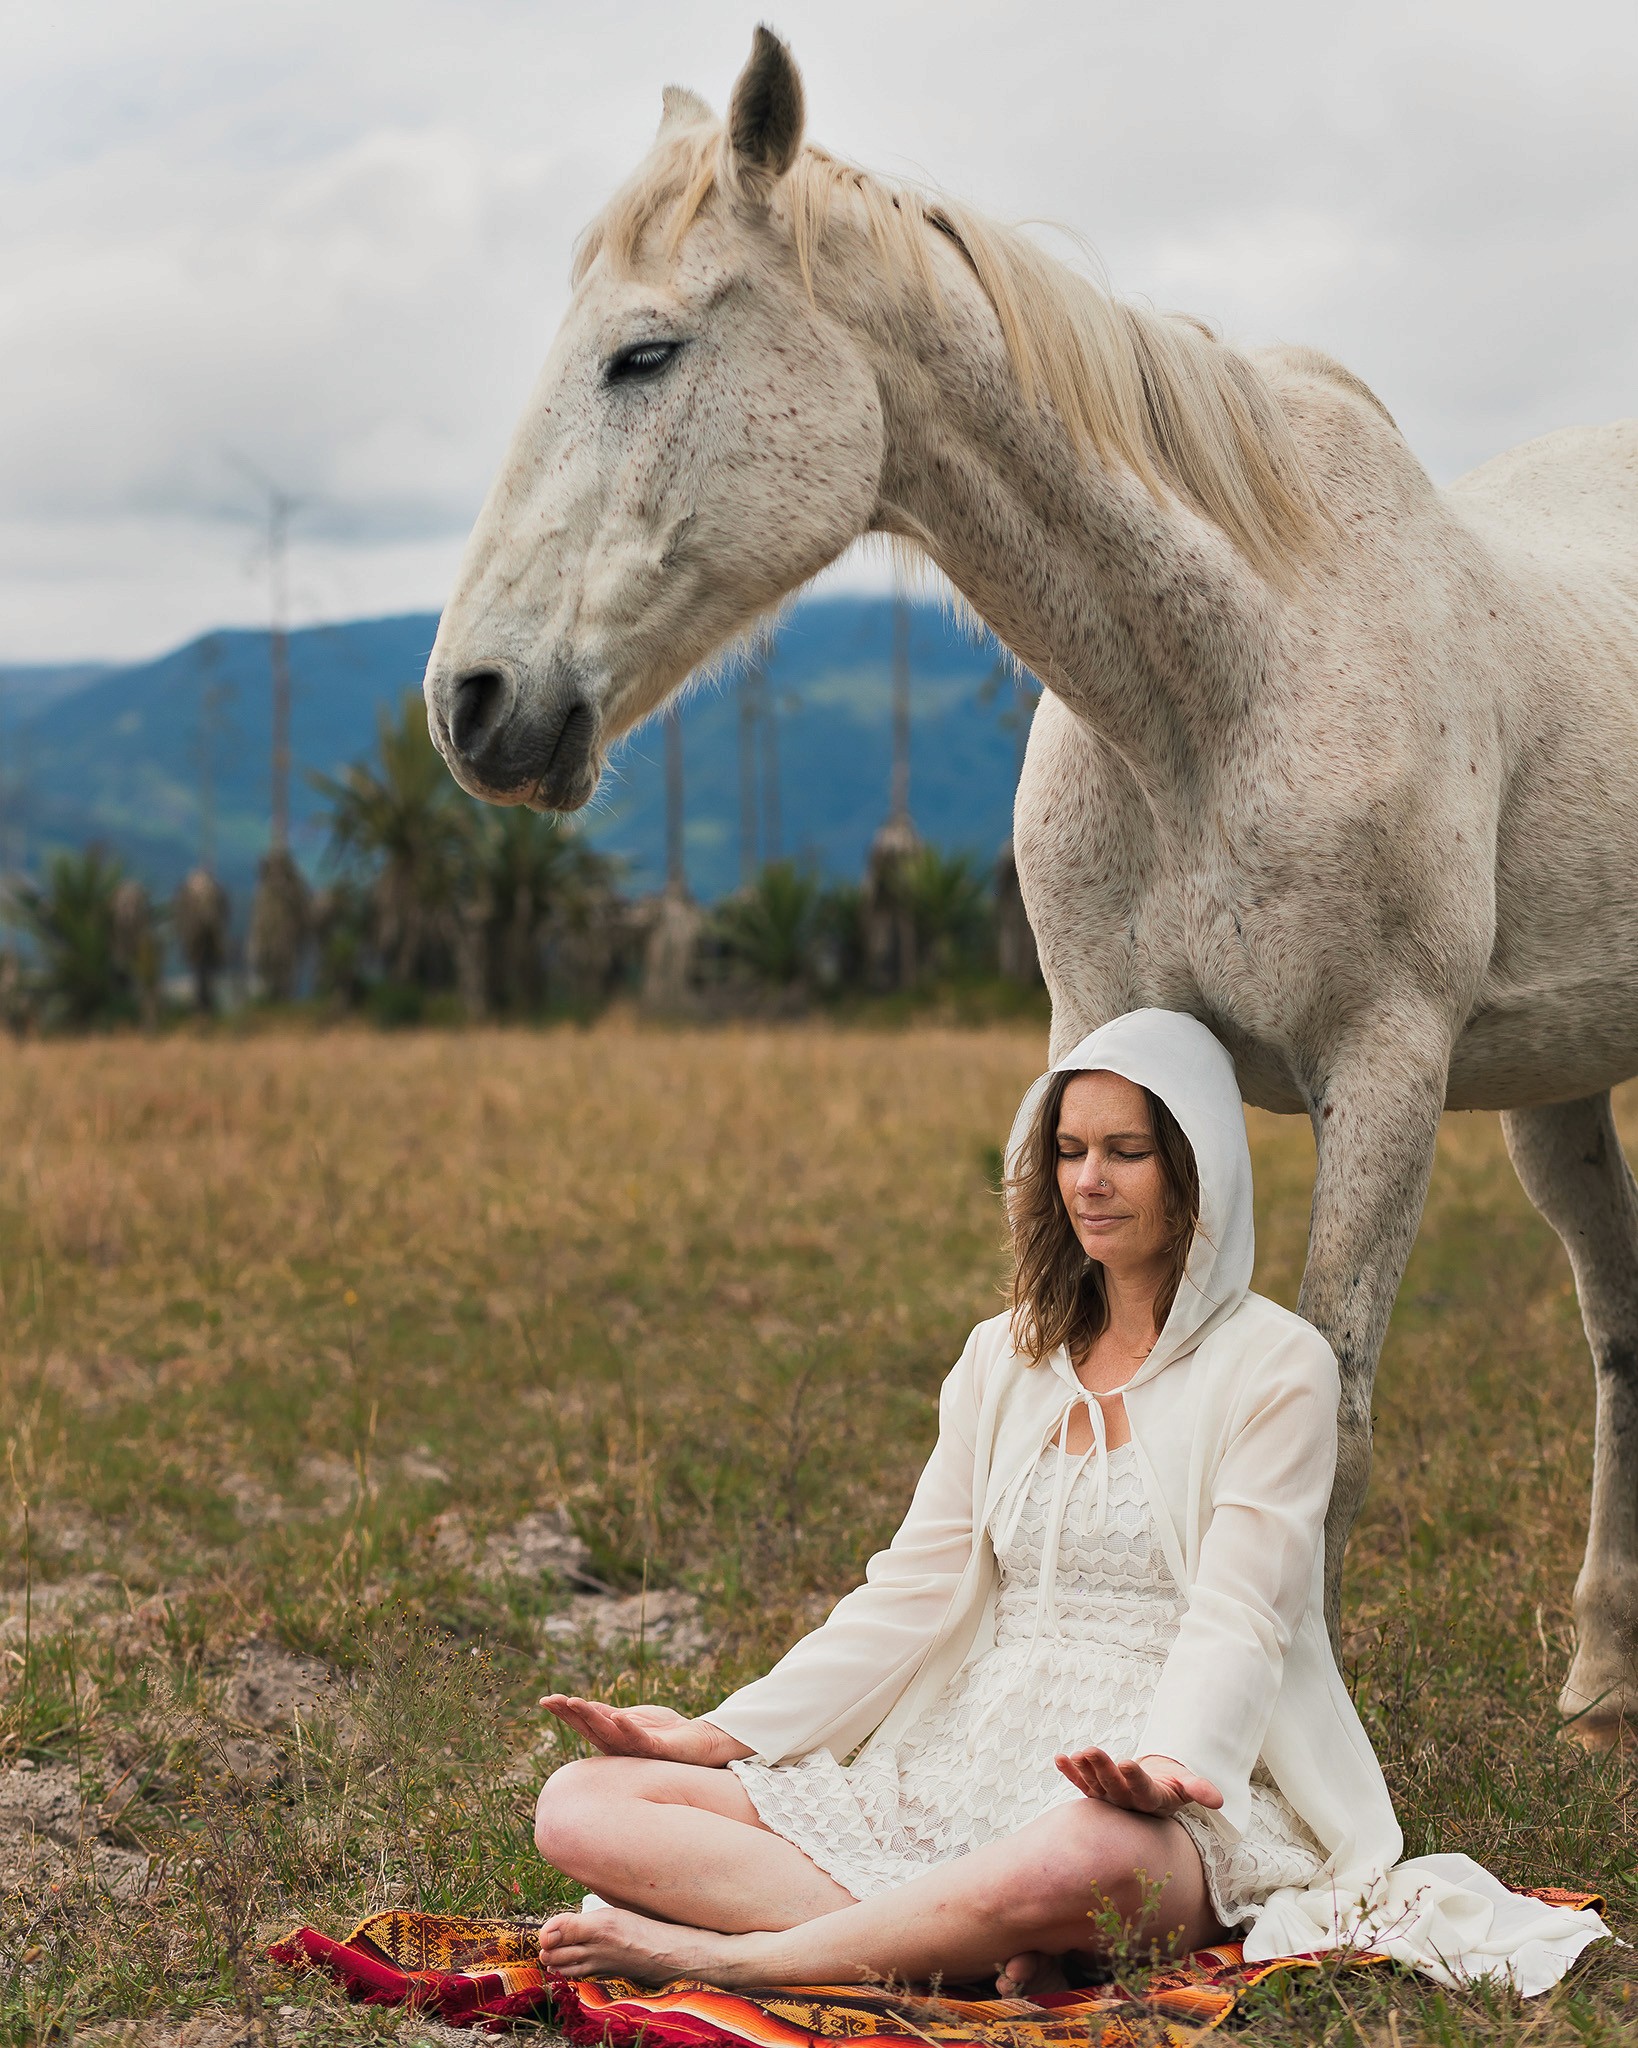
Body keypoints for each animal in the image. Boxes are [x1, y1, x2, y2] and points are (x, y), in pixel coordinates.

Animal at [421, 28, 1637, 1744]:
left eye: (643, 355)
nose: (471, 705)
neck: (1225, 686)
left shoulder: (1384, 1072)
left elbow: (1325, 1428)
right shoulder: (1100, 1031)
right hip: (1555, 1092)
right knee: (1616, 1323)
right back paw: (1600, 1673)